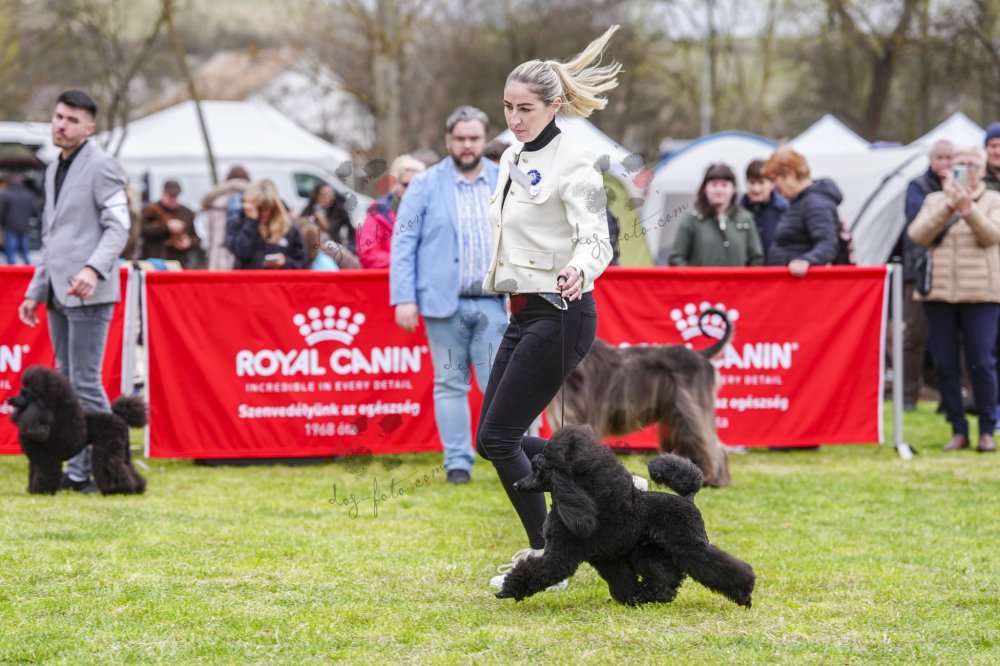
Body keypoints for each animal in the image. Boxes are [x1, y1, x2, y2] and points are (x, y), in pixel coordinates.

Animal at [7, 365, 147, 495]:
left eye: (25, 393)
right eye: (20, 391)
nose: (9, 399)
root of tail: (120, 418)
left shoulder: (47, 458)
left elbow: (45, 474)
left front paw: (42, 492)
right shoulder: (36, 459)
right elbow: (34, 473)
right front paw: (32, 490)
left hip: (108, 447)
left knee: (113, 466)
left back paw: (118, 489)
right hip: (123, 449)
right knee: (128, 466)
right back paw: (137, 487)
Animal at [495, 425, 755, 606]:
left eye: (538, 471)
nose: (518, 484)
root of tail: (688, 499)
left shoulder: (561, 554)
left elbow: (539, 570)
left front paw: (507, 590)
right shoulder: (608, 557)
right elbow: (621, 583)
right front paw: (630, 598)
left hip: (688, 544)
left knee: (717, 565)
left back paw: (745, 593)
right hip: (648, 551)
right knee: (665, 578)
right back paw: (648, 596)